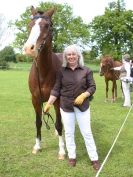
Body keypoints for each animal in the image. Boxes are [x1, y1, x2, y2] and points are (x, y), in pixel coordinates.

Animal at [23, 6, 65, 160]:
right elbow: (38, 122)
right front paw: (37, 146)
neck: (44, 72)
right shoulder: (35, 100)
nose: (29, 49)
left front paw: (62, 151)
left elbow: (58, 124)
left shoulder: (57, 100)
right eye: (30, 25)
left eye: (47, 26)